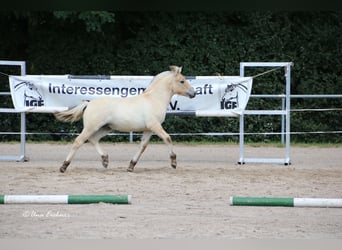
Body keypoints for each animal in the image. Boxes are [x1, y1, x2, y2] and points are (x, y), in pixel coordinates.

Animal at [54, 65, 196, 173]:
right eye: (182, 81)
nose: (193, 93)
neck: (154, 99)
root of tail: (88, 103)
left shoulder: (148, 129)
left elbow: (143, 146)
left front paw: (131, 166)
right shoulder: (154, 126)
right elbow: (167, 138)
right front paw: (174, 162)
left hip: (105, 128)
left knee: (93, 139)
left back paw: (105, 160)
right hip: (91, 127)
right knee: (78, 141)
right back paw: (63, 167)